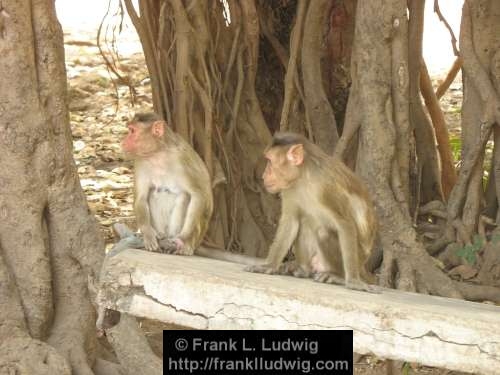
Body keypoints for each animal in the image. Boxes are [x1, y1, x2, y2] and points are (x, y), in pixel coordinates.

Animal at [244, 133, 376, 294]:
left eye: (270, 161)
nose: (264, 174)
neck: (303, 175)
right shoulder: (289, 188)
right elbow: (291, 221)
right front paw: (269, 266)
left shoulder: (326, 186)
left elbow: (345, 224)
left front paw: (353, 281)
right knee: (305, 222)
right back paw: (303, 269)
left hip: (359, 256)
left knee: (323, 232)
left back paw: (337, 275)